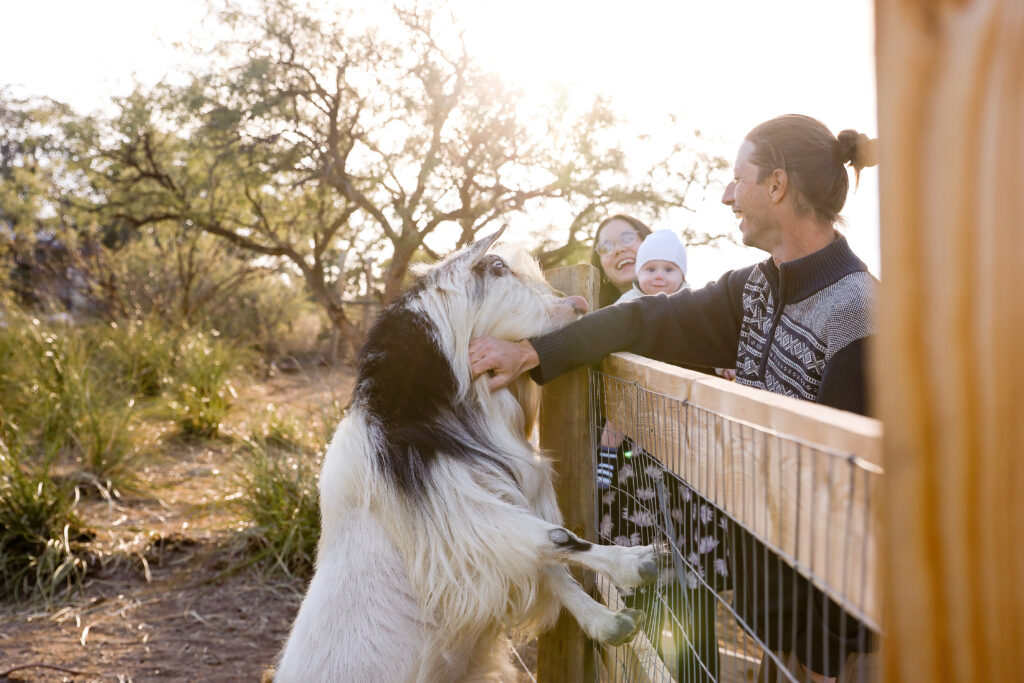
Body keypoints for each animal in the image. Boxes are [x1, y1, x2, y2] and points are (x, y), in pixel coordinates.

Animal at [274, 227, 655, 679]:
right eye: (497, 266)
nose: (577, 305)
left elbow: (545, 561)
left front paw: (608, 623)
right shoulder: (459, 515)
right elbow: (553, 539)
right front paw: (633, 563)